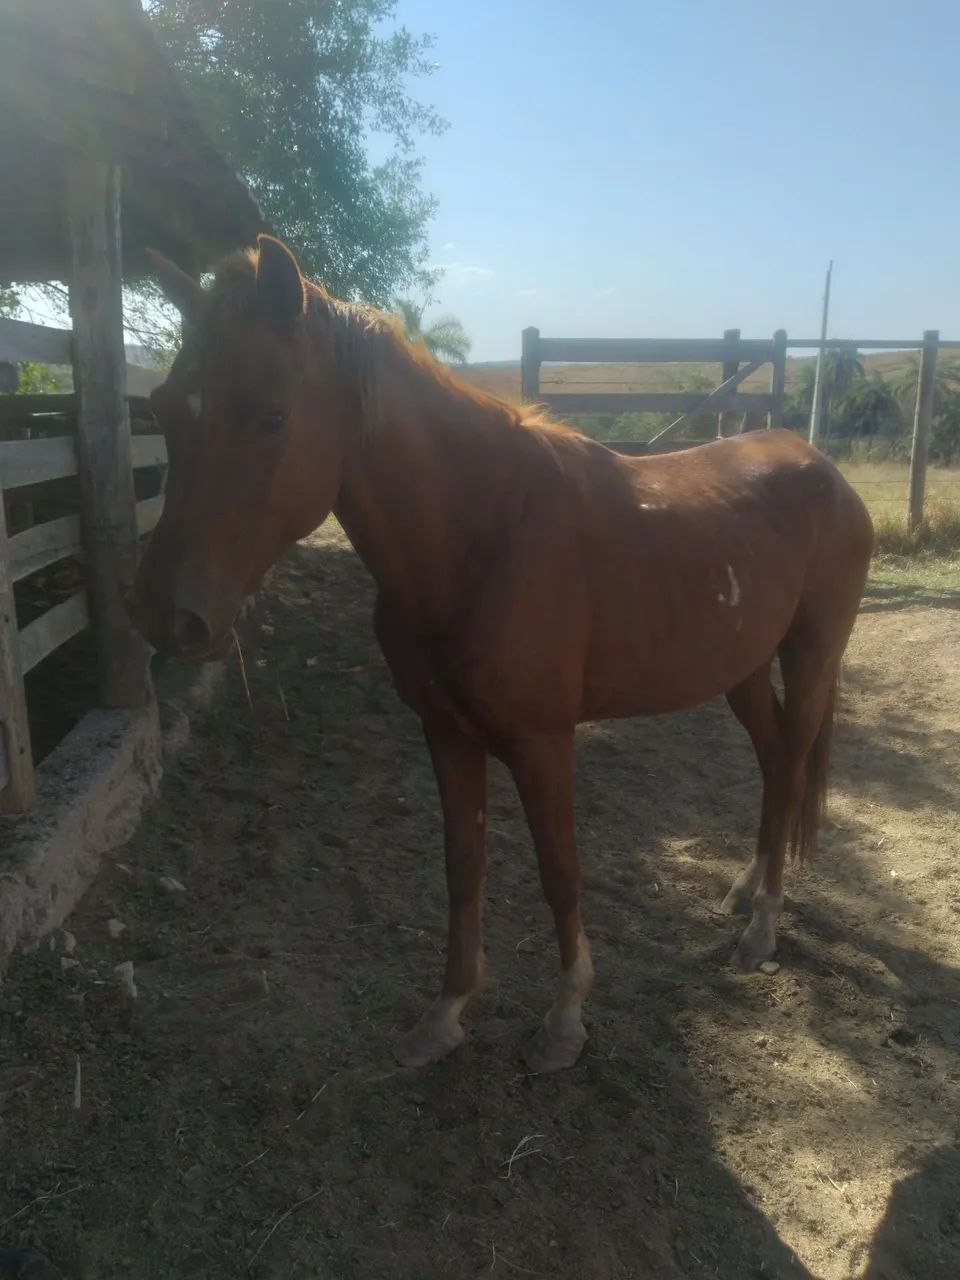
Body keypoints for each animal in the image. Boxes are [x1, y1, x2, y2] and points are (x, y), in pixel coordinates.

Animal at [133, 235, 874, 1074]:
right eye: (163, 408)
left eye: (270, 415)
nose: (165, 614)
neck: (480, 532)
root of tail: (824, 470)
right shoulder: (446, 733)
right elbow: (463, 866)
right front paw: (446, 1013)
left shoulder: (542, 741)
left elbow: (560, 872)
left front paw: (565, 1021)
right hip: (741, 670)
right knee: (778, 764)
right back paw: (745, 892)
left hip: (810, 659)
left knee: (792, 760)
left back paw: (763, 927)